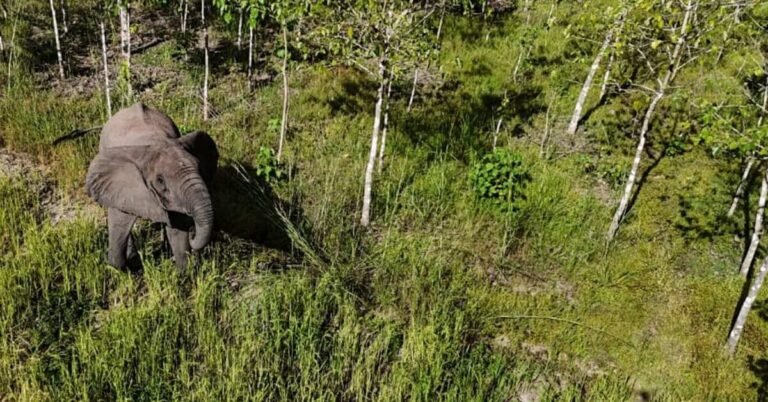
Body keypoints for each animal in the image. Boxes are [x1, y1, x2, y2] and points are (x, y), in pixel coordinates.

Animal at [85, 103, 219, 270]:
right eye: (160, 181)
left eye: (200, 168)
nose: (193, 235)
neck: (155, 142)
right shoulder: (122, 186)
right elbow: (120, 224)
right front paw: (124, 268)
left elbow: (178, 229)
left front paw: (182, 272)